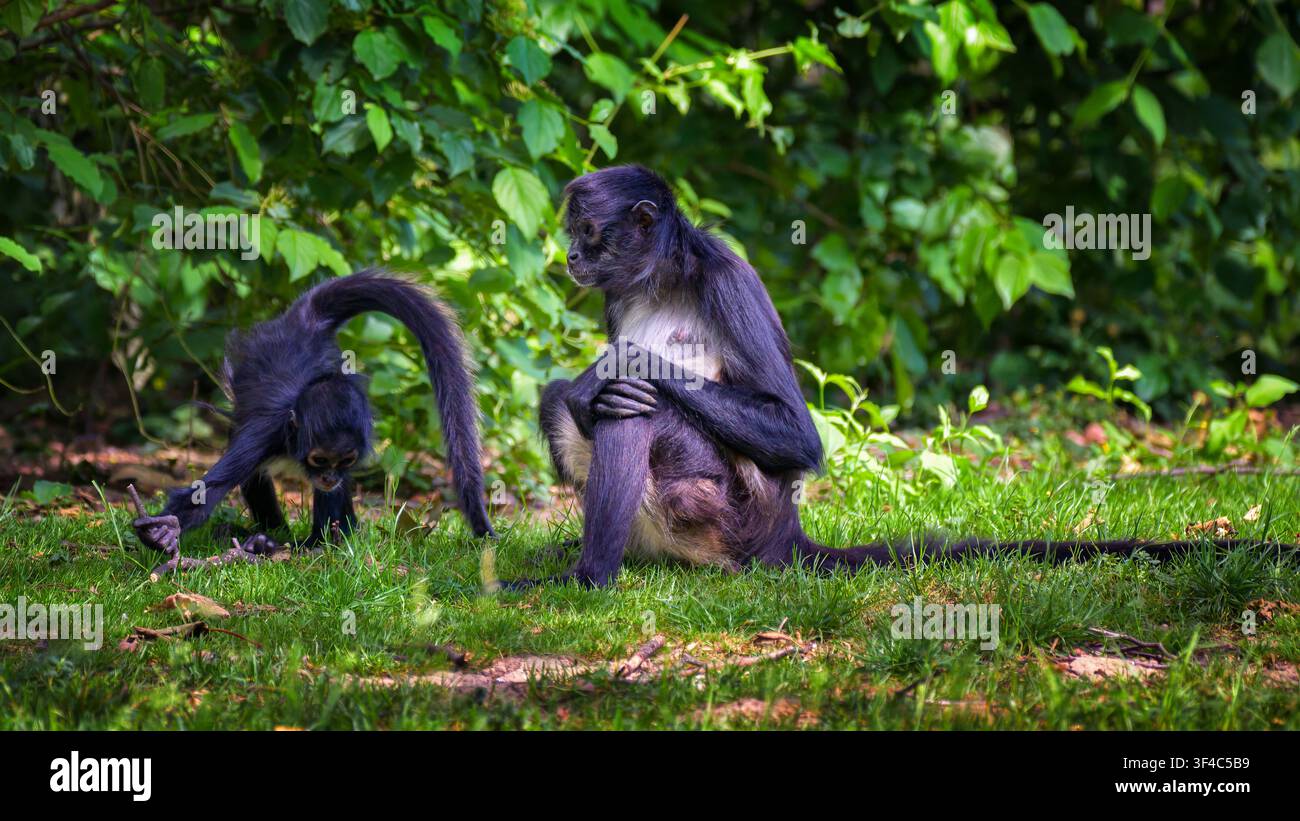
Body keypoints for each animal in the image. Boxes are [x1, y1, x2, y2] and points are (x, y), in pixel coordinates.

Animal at [131, 269, 494, 562]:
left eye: (344, 460)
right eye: (319, 459)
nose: (329, 476)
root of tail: (305, 321)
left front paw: (317, 541)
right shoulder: (263, 435)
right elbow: (204, 494)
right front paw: (165, 532)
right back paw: (271, 531)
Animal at [508, 165, 1293, 588]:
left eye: (589, 235)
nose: (570, 258)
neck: (662, 280)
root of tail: (784, 537)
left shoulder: (725, 277)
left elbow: (795, 436)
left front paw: (617, 367)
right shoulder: (618, 296)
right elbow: (575, 392)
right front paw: (586, 383)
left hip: (723, 509)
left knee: (634, 405)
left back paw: (589, 576)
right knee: (566, 399)